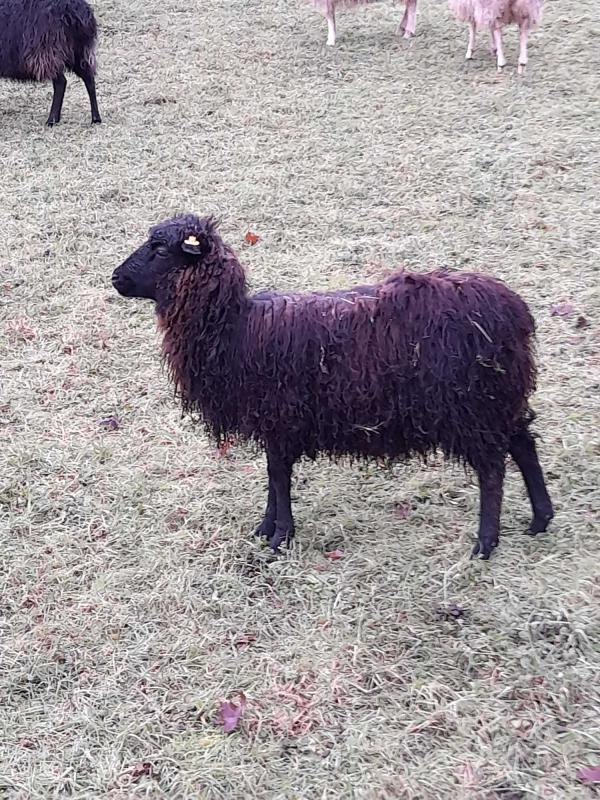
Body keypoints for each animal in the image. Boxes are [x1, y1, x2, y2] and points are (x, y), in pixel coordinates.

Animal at [111, 214, 554, 560]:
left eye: (160, 249)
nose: (115, 278)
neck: (236, 328)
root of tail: (515, 310)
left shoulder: (281, 418)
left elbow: (279, 477)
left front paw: (279, 538)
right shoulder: (275, 425)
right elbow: (274, 476)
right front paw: (266, 528)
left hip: (471, 406)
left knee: (493, 469)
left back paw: (485, 544)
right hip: (497, 400)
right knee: (523, 444)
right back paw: (541, 519)